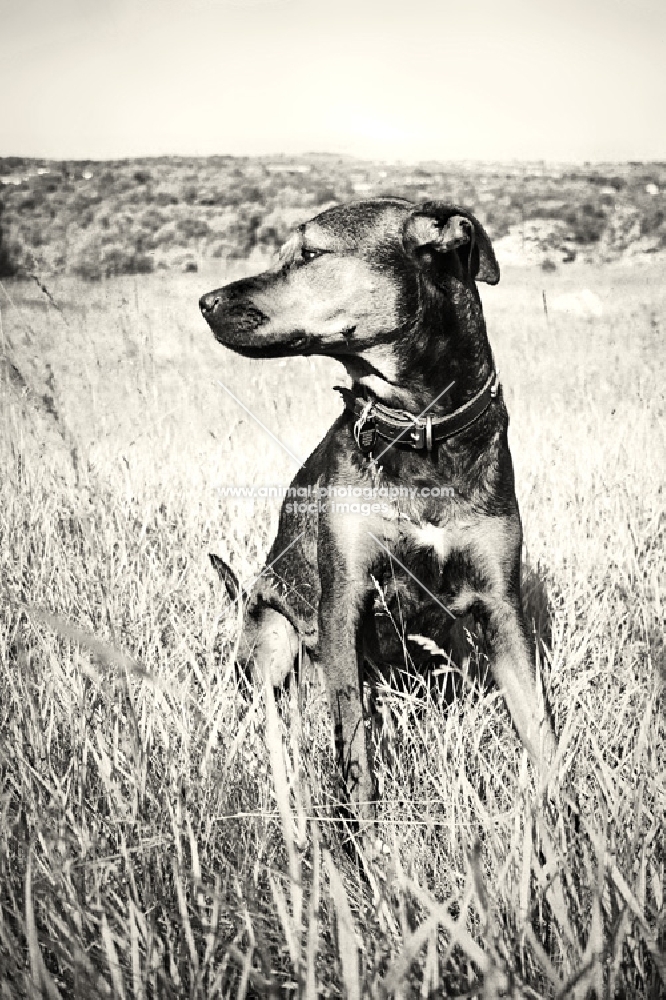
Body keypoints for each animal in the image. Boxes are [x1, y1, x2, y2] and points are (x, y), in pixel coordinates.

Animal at [201, 199, 556, 816]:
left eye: (310, 253)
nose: (204, 303)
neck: (417, 427)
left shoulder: (502, 606)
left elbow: (538, 728)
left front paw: (569, 821)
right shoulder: (343, 599)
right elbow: (354, 741)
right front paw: (358, 829)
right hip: (273, 631)